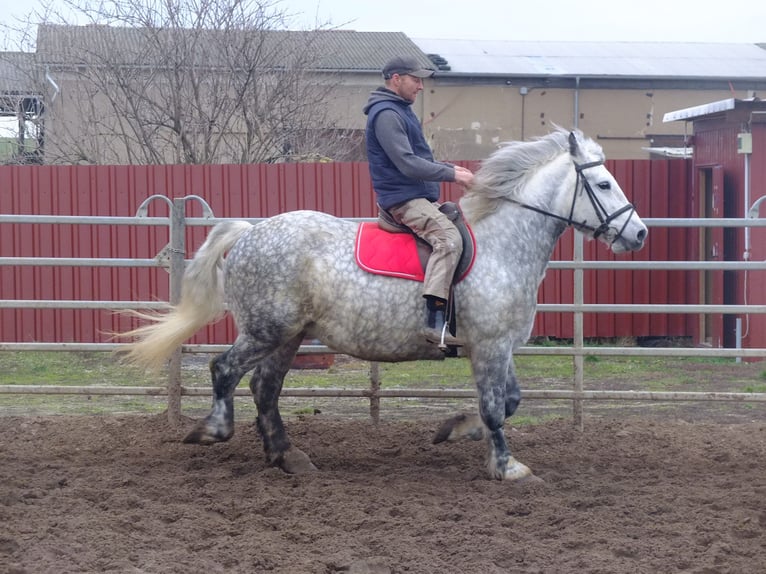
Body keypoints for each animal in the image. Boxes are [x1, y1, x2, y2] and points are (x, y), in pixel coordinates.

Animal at [120, 129, 648, 482]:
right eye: (603, 185)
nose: (639, 233)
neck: (502, 244)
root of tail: (251, 231)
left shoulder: (496, 347)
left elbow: (509, 402)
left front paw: (455, 430)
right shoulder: (491, 346)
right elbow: (497, 409)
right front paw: (507, 466)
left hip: (288, 336)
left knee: (264, 388)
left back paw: (288, 457)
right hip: (266, 329)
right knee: (224, 371)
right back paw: (214, 431)